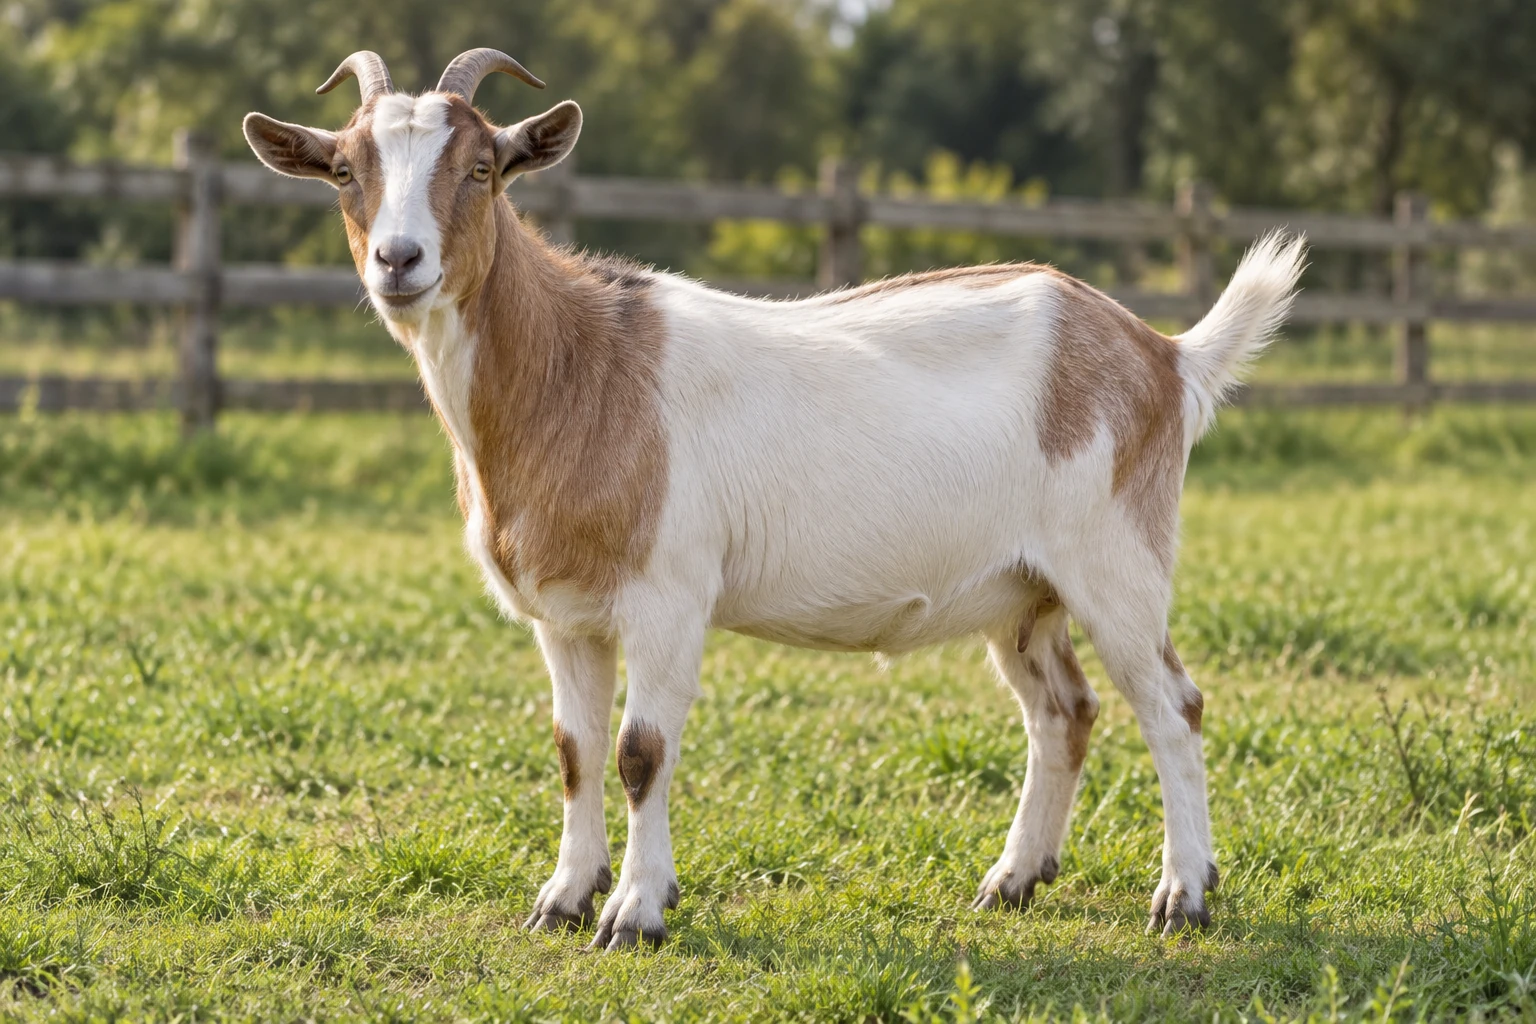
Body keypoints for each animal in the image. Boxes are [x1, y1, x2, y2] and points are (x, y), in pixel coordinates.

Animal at [244, 48, 1306, 950]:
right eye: (344, 169)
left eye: (481, 168)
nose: (399, 261)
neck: (583, 370)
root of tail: (1164, 355)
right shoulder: (565, 615)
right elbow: (574, 749)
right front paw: (563, 897)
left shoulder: (669, 596)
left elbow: (639, 751)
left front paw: (635, 912)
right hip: (1022, 590)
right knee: (1063, 711)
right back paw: (1013, 878)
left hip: (1115, 559)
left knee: (1172, 705)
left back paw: (1184, 895)